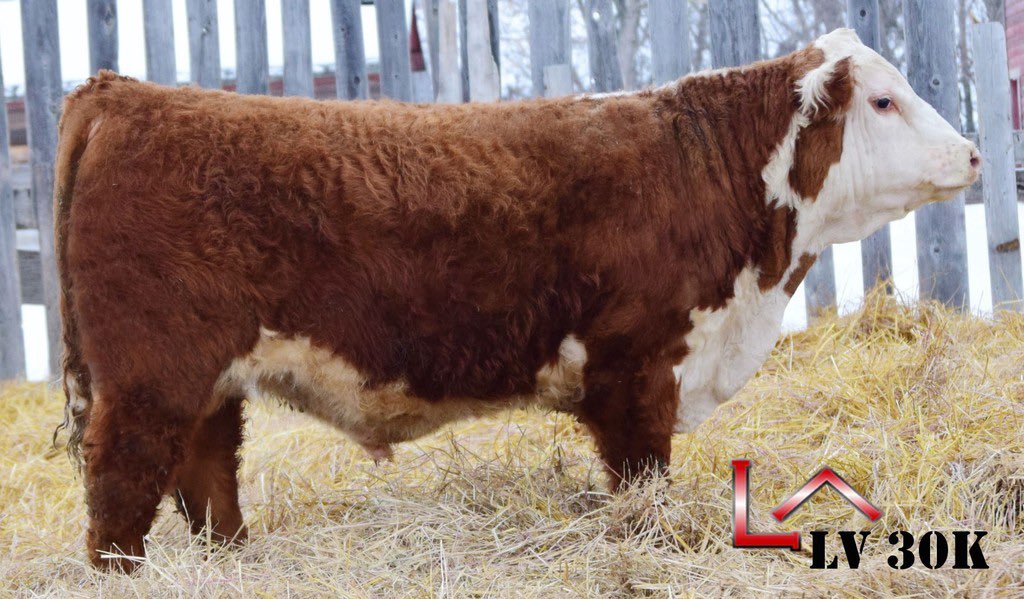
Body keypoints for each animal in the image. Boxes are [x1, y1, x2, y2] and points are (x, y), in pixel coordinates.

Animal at [54, 29, 979, 571]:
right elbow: (644, 485)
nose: (972, 153)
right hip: (149, 377)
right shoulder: (637, 371)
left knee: (207, 479)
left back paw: (237, 564)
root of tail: (121, 93)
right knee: (119, 495)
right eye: (885, 100)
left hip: (206, 381)